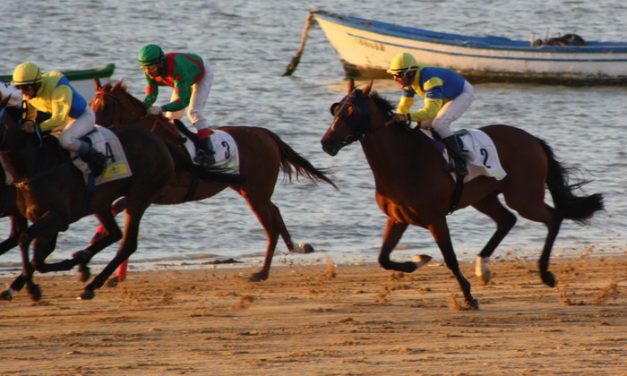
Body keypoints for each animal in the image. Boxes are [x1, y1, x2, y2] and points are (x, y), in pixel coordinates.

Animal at [0, 98, 174, 302]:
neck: (37, 165)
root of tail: (159, 142)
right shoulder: (41, 217)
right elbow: (39, 257)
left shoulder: (58, 216)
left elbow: (27, 241)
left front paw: (32, 288)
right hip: (101, 203)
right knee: (115, 234)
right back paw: (84, 262)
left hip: (139, 196)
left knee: (128, 243)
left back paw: (91, 285)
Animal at [91, 81, 336, 284]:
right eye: (92, 104)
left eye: (106, 106)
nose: (92, 130)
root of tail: (265, 133)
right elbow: (112, 210)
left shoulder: (156, 193)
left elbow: (116, 210)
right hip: (249, 190)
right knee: (275, 212)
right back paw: (292, 248)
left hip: (255, 194)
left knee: (271, 228)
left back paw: (262, 273)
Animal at [322, 80, 604, 308]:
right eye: (335, 109)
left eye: (351, 111)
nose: (327, 143)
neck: (404, 160)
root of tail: (533, 140)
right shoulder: (398, 218)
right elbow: (383, 258)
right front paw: (419, 260)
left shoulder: (435, 218)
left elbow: (450, 258)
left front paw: (468, 297)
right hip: (484, 197)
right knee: (507, 220)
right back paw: (483, 269)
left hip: (524, 197)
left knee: (553, 218)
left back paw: (545, 274)